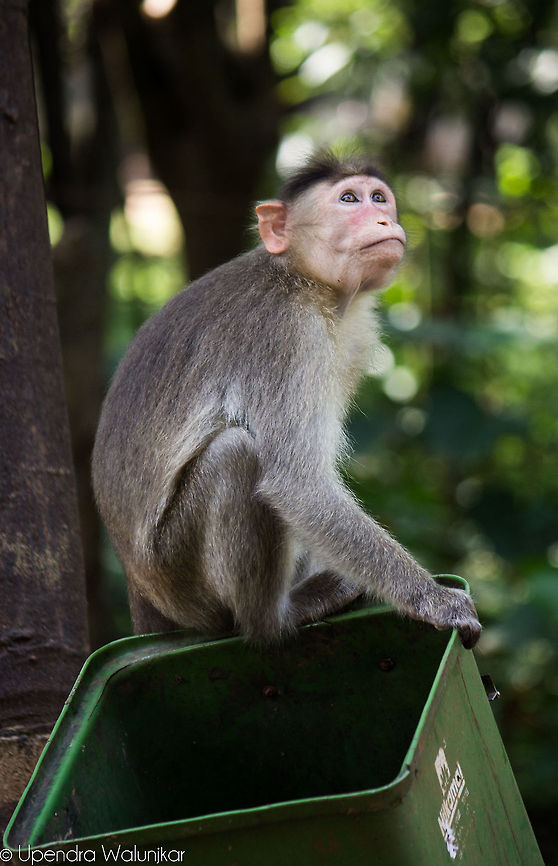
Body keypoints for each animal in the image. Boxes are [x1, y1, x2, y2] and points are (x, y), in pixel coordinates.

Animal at [92, 151, 481, 649]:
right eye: (349, 199)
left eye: (379, 198)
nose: (383, 219)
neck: (302, 277)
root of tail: (141, 589)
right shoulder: (286, 335)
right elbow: (297, 484)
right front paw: (432, 599)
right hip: (179, 577)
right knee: (236, 455)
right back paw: (272, 618)